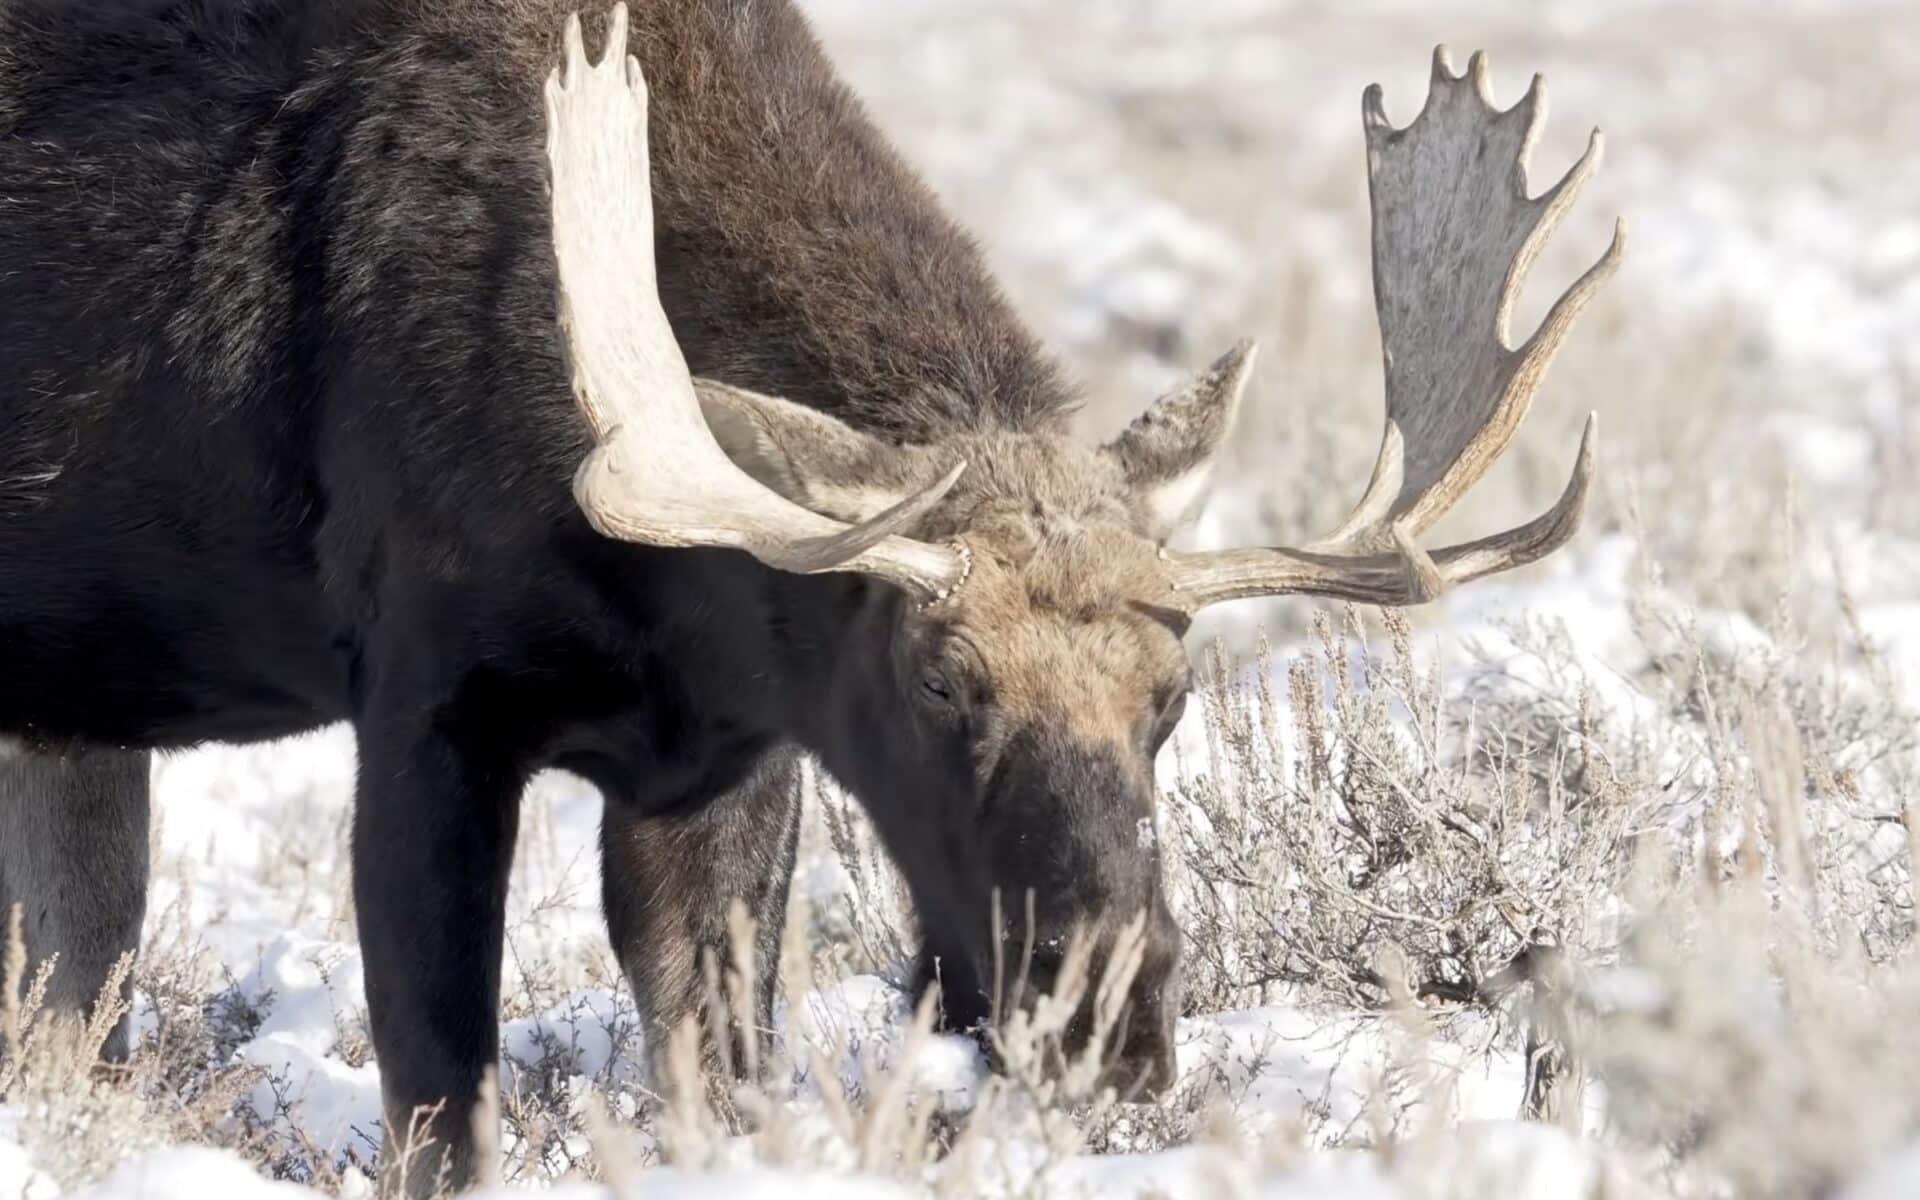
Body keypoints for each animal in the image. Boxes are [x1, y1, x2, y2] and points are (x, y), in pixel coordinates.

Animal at [0, 0, 1622, 1191]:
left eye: (1173, 695)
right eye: (937, 677)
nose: (1111, 1013)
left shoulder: (725, 758)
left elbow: (721, 1077)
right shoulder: (428, 701)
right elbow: (441, 1096)